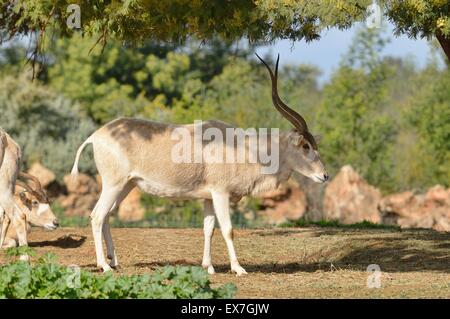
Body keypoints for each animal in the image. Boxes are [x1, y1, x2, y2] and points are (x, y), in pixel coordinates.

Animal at [72, 54, 328, 276]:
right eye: (305, 145)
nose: (324, 176)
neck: (245, 149)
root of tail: (96, 135)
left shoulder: (208, 197)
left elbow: (208, 228)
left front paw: (209, 267)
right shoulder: (221, 193)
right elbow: (228, 229)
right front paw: (238, 268)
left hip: (127, 185)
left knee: (107, 215)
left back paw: (114, 261)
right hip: (113, 184)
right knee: (97, 215)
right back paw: (104, 266)